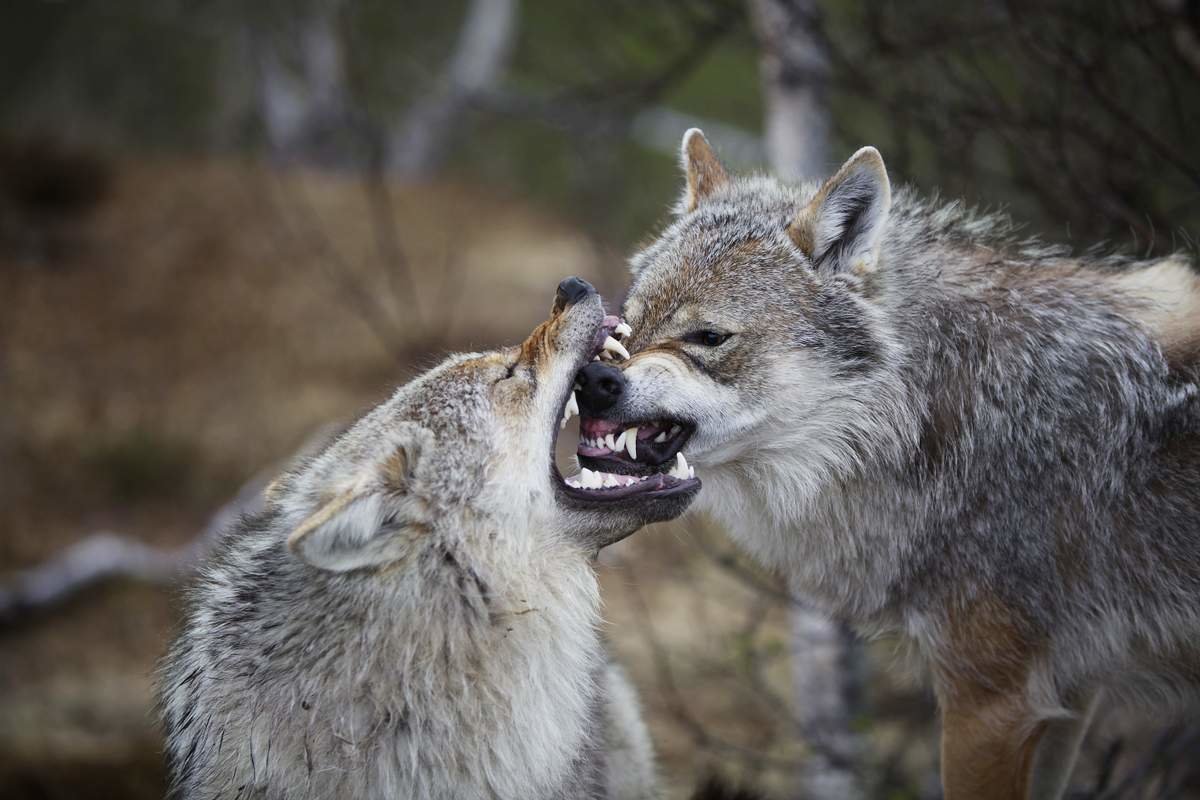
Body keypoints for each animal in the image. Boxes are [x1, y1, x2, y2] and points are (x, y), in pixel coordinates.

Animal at [568, 128, 1200, 800]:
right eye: (629, 322)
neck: (932, 416)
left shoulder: (992, 700)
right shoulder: (1066, 697)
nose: (594, 380)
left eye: (709, 338)